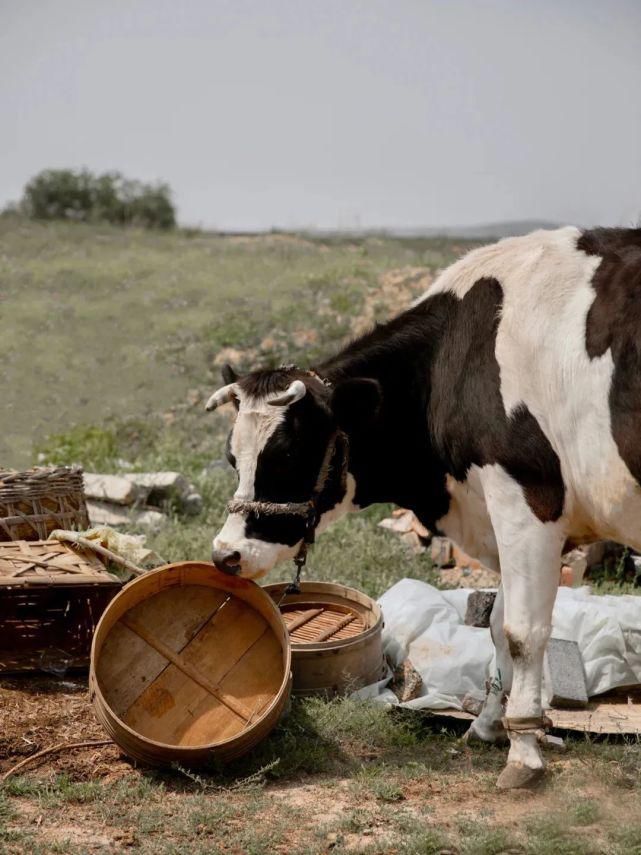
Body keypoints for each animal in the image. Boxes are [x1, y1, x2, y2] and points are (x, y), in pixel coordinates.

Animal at [205, 226, 640, 788]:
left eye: (287, 456)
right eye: (231, 457)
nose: (225, 554)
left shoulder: (527, 497)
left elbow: (523, 631)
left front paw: (523, 752)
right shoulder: (497, 513)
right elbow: (498, 624)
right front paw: (488, 725)